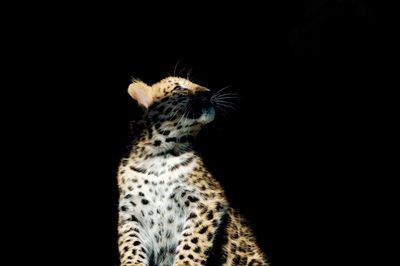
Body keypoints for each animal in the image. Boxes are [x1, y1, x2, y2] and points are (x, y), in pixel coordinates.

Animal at [116, 76, 268, 264]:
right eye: (179, 88)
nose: (208, 92)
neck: (158, 157)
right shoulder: (131, 212)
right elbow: (130, 244)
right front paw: (132, 262)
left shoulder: (206, 202)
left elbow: (192, 243)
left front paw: (184, 262)